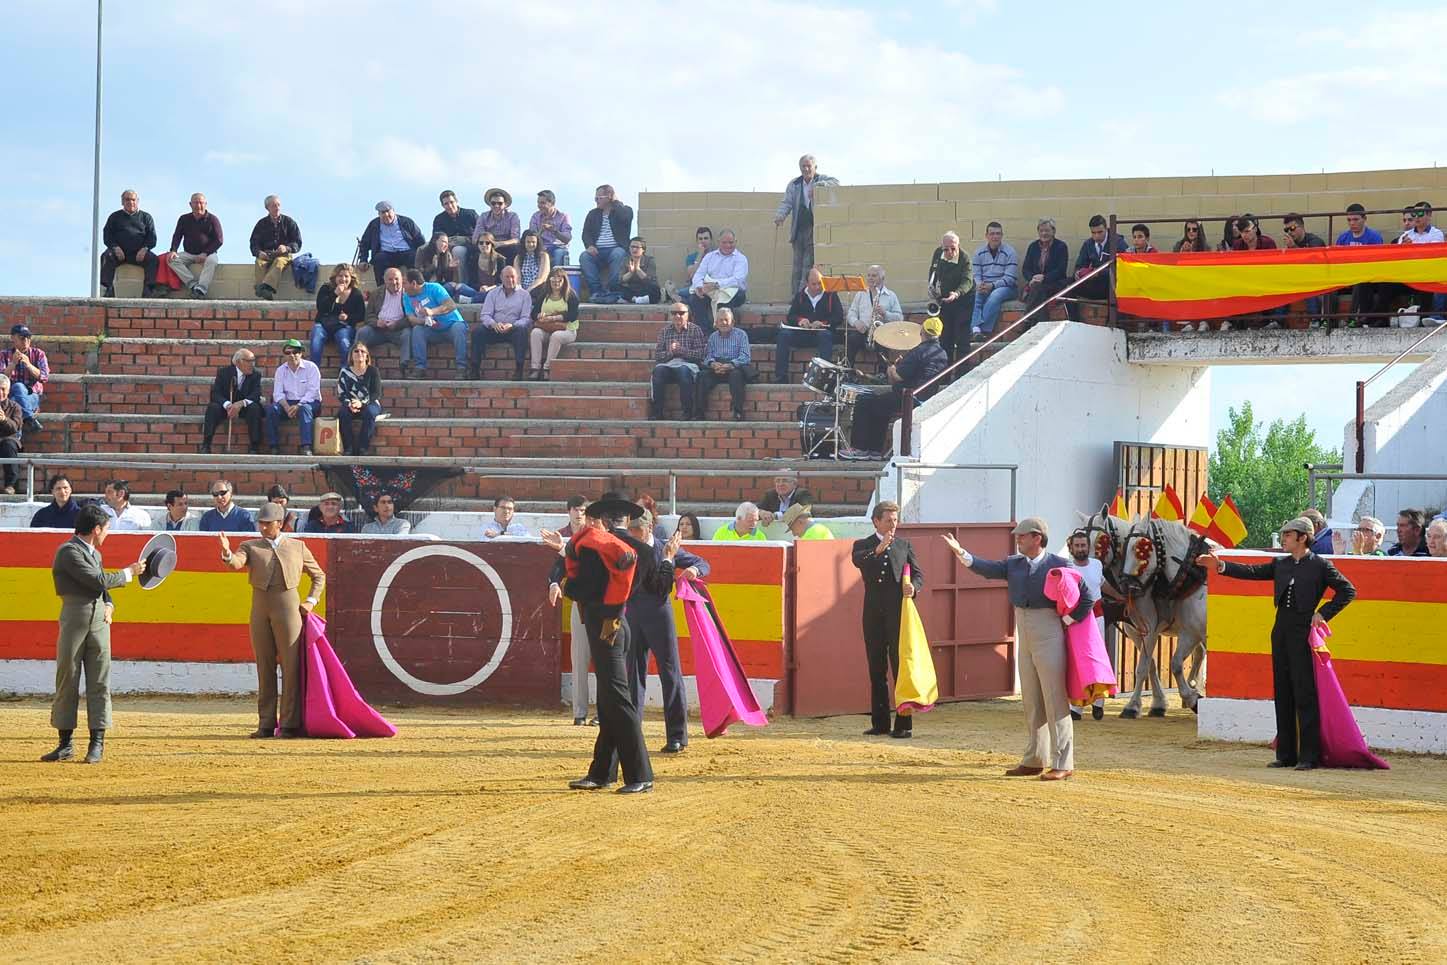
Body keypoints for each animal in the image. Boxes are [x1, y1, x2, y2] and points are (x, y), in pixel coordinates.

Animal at [1117, 517, 1209, 714]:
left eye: (1141, 548)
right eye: (1123, 547)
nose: (1126, 585)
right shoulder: (1190, 633)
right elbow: (1175, 664)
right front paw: (1192, 698)